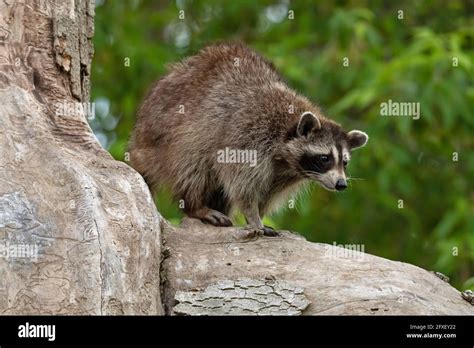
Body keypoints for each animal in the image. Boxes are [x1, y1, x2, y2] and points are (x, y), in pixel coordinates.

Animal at [128, 42, 368, 235]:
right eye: (325, 158)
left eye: (345, 162)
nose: (341, 184)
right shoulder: (248, 135)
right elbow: (242, 182)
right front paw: (254, 218)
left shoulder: (285, 174)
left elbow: (268, 193)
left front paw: (259, 214)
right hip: (167, 132)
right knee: (190, 161)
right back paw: (196, 206)